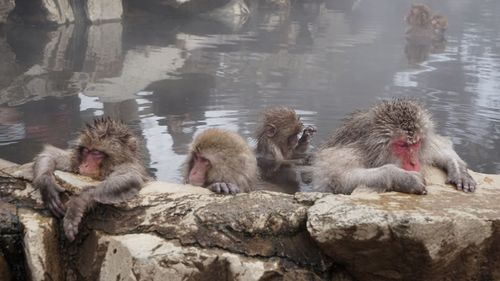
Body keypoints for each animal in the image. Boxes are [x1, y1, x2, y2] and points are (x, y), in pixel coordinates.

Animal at [312, 99, 476, 195]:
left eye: (415, 143)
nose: (413, 163)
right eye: (402, 145)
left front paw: (459, 172)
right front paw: (403, 178)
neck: (371, 149)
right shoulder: (352, 151)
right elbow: (337, 177)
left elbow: (440, 147)